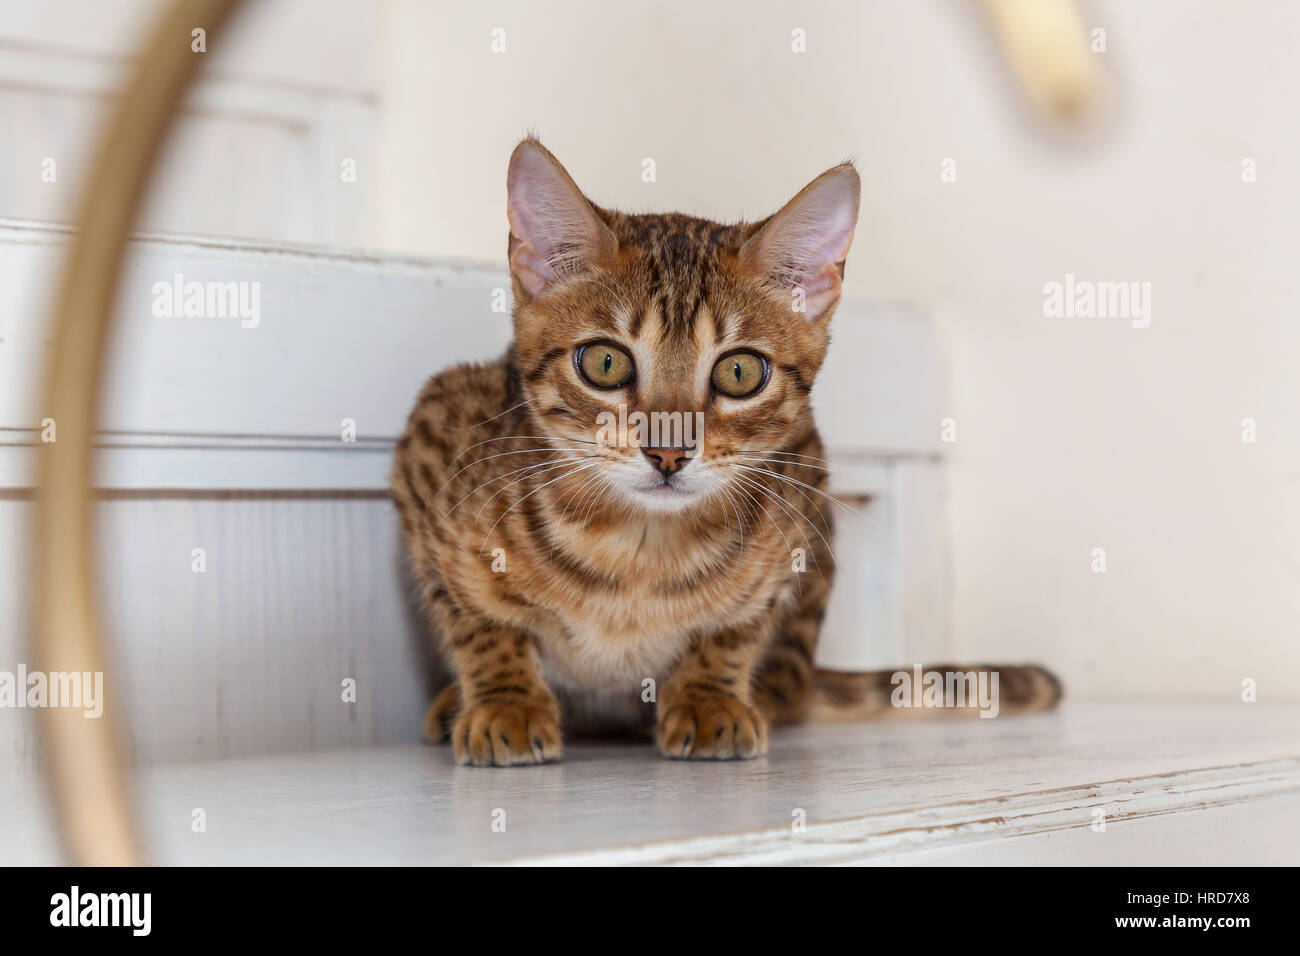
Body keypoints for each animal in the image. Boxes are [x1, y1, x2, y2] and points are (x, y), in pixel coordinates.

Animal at [387, 138, 1055, 770]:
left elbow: (736, 629)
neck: (638, 553)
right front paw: (507, 700)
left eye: (739, 372)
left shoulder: (794, 512)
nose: (668, 453)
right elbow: (475, 620)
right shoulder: (431, 444)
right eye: (604, 362)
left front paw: (709, 698)